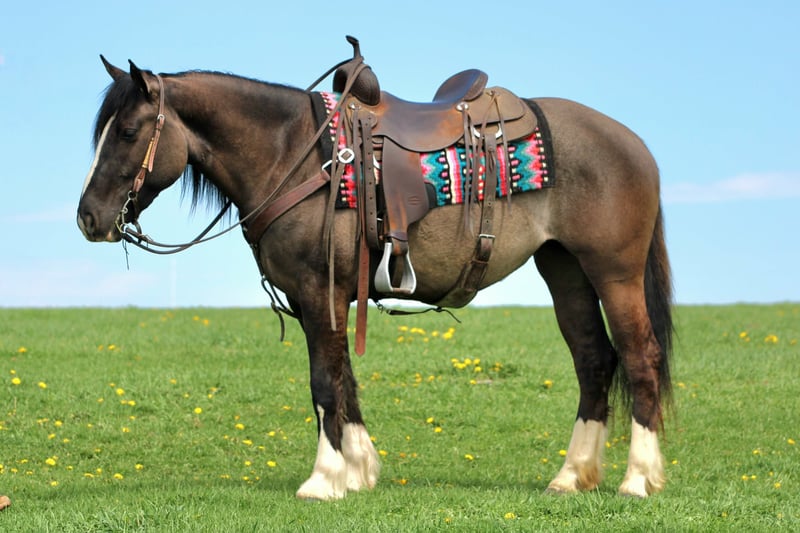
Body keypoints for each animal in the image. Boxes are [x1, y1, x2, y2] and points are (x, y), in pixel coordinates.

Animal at [77, 49, 673, 501]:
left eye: (127, 131)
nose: (88, 217)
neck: (295, 156)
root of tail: (634, 144)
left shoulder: (318, 290)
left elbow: (323, 381)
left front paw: (324, 479)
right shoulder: (327, 298)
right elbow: (344, 379)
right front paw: (359, 469)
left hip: (614, 272)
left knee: (639, 357)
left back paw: (638, 479)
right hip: (565, 270)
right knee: (594, 361)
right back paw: (572, 476)